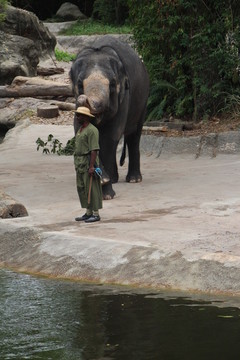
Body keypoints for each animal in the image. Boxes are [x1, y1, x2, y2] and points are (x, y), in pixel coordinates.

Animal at [69, 34, 149, 200]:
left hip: (143, 100)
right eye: (79, 84)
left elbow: (111, 135)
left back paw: (132, 179)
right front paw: (103, 181)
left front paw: (105, 188)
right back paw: (114, 178)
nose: (84, 99)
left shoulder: (124, 97)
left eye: (112, 84)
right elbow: (81, 132)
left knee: (134, 135)